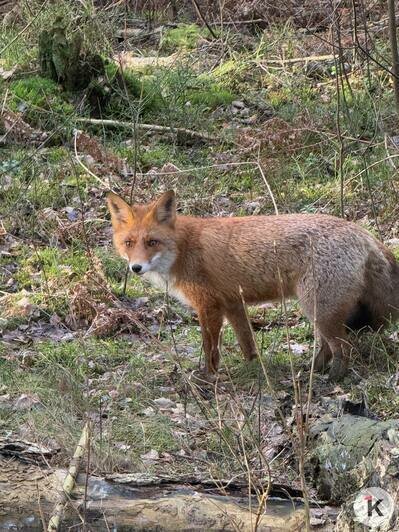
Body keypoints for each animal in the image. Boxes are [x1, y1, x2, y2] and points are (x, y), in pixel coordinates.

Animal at [107, 189, 399, 380]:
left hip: (318, 308)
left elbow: (210, 347)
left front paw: (207, 377)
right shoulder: (232, 303)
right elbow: (247, 342)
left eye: (152, 242)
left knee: (343, 348)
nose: (136, 268)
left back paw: (333, 379)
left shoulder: (208, 305)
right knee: (328, 346)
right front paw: (253, 368)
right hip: (320, 310)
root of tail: (363, 233)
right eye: (129, 243)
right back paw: (312, 370)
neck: (183, 249)